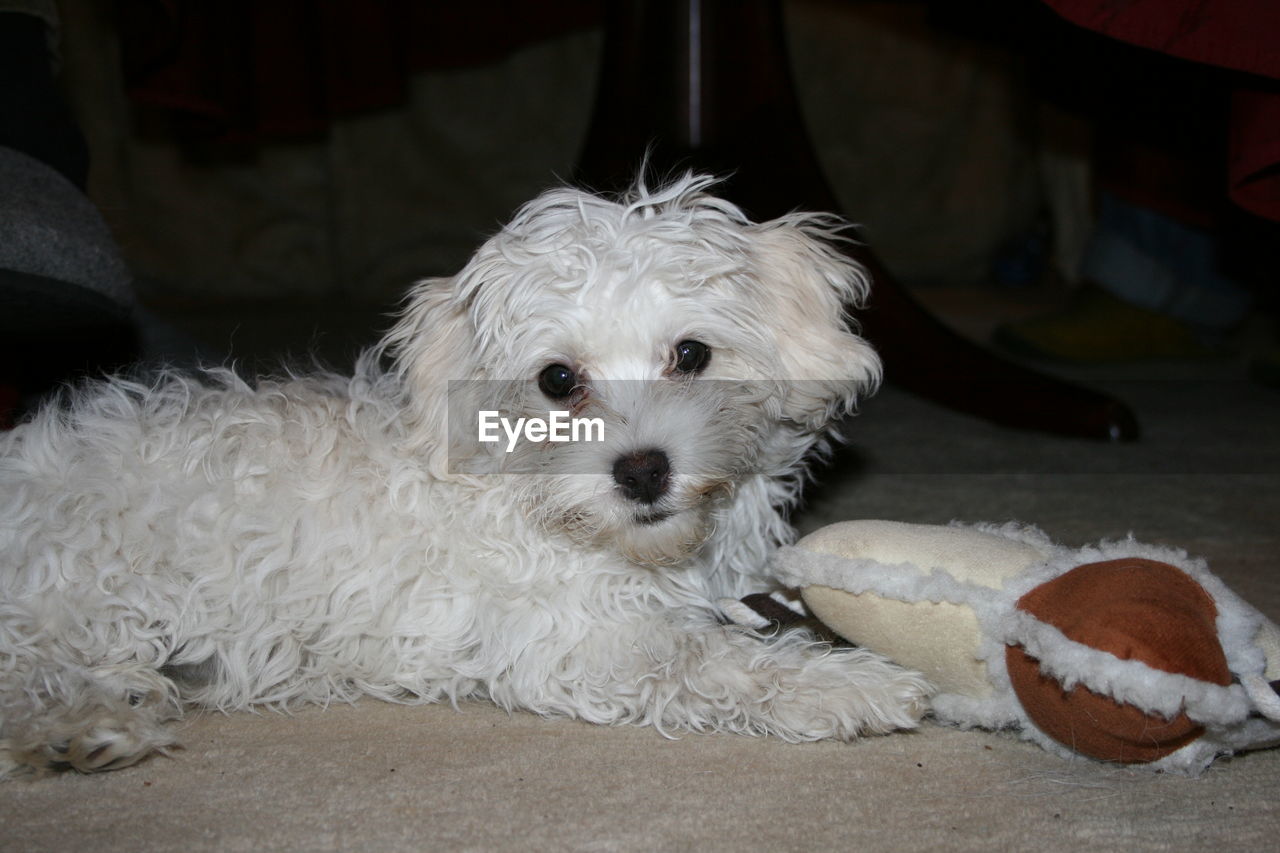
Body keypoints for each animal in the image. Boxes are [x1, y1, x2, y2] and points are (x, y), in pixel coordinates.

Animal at [0, 172, 931, 778]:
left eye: (692, 354)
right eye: (558, 379)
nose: (641, 471)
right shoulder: (580, 638)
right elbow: (714, 659)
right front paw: (853, 686)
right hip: (79, 596)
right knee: (25, 678)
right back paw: (83, 731)